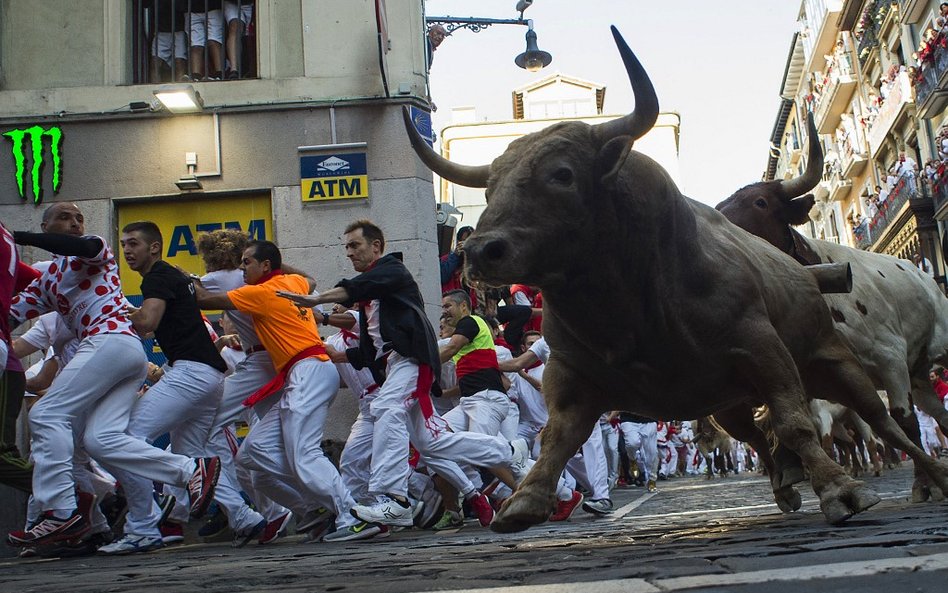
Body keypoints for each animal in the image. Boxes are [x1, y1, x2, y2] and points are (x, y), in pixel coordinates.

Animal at [400, 26, 948, 532]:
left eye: (562, 174)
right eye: (490, 186)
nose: (480, 250)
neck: (628, 307)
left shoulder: (765, 350)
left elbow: (795, 422)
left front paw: (840, 489)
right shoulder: (571, 374)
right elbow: (557, 437)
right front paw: (525, 500)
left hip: (836, 361)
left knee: (888, 423)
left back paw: (929, 477)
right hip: (730, 401)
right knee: (759, 436)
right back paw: (786, 484)